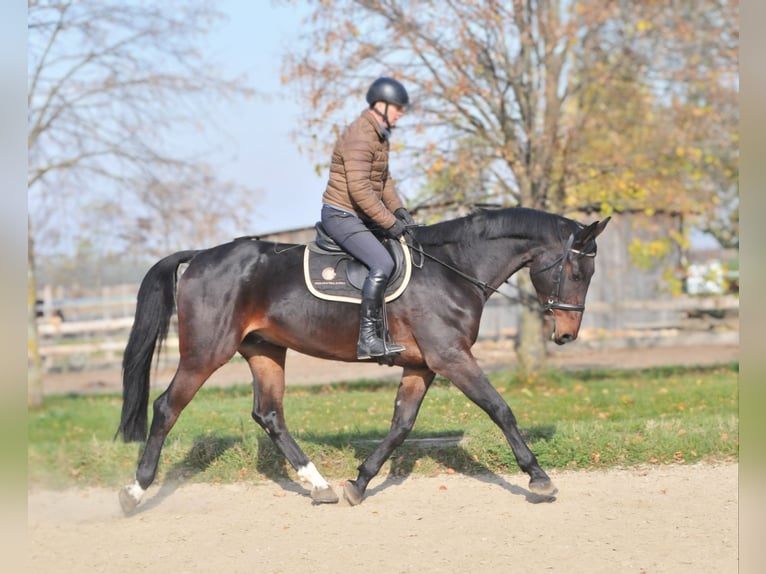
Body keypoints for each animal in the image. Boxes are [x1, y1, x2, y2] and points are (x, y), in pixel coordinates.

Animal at [117, 207, 612, 512]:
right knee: (167, 408)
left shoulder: (421, 366)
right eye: (575, 271)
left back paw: (319, 486)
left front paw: (358, 483)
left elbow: (401, 426)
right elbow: (500, 409)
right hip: (206, 353)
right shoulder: (451, 358)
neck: (452, 269)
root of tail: (201, 256)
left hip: (264, 350)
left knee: (270, 414)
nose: (566, 335)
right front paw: (538, 478)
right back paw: (135, 492)